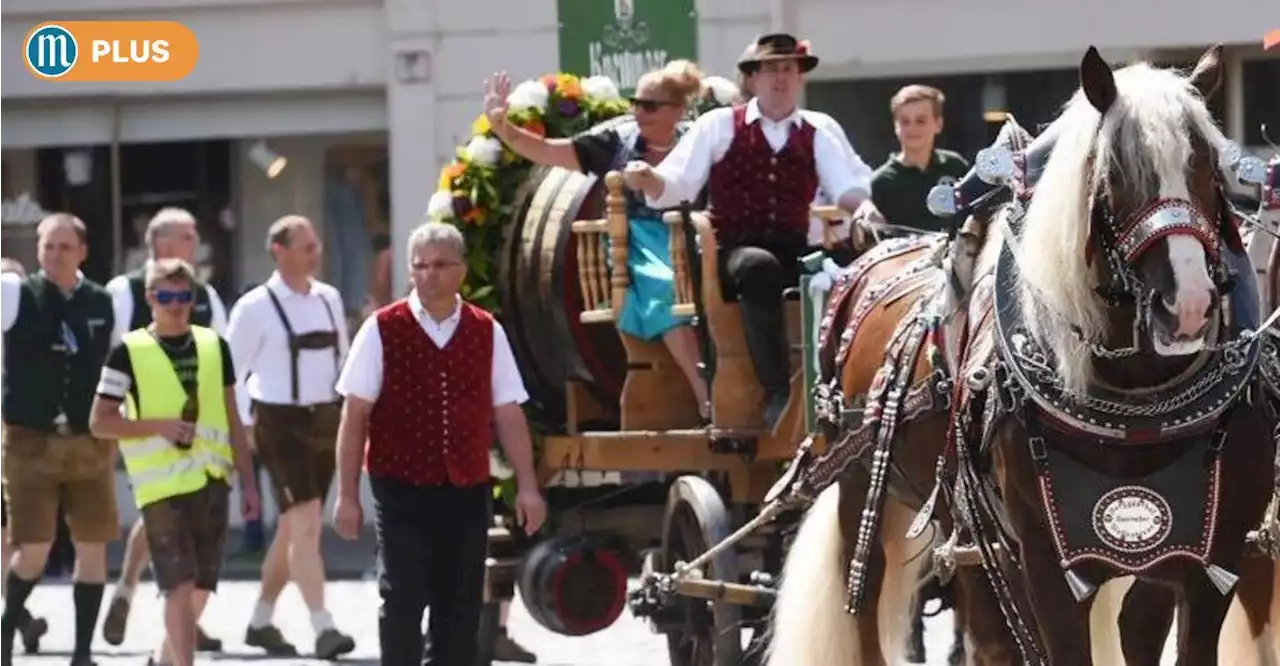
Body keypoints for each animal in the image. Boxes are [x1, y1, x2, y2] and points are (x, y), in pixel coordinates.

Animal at [952, 46, 1280, 666]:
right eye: (1116, 176)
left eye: (1210, 167)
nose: (1189, 306)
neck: (1136, 408)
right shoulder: (1046, 567)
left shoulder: (1210, 560)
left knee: (1139, 625)